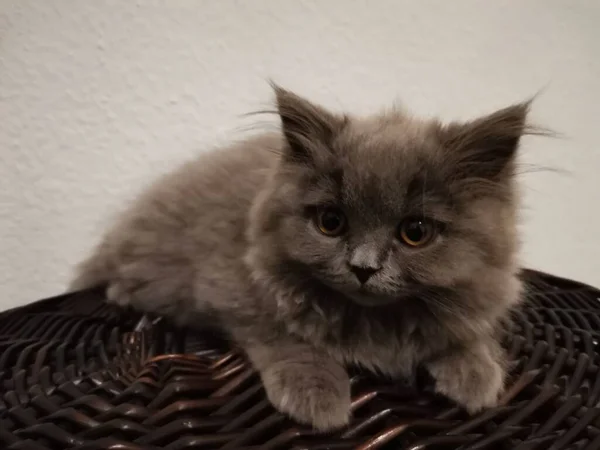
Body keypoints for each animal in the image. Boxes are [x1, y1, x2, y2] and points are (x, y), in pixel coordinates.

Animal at [71, 84, 528, 432]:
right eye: (331, 222)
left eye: (415, 233)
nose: (363, 267)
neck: (375, 322)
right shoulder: (232, 285)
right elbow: (285, 336)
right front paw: (317, 394)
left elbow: (464, 331)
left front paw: (476, 372)